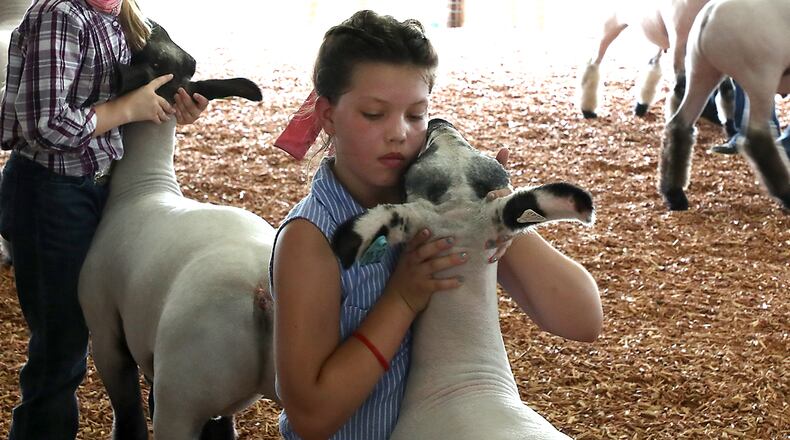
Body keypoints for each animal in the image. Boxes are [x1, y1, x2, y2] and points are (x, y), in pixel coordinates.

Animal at [77, 21, 277, 439]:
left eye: (153, 60)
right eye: (185, 61)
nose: (152, 23)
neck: (145, 186)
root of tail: (262, 294)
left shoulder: (105, 330)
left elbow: (129, 416)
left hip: (184, 391)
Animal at [579, 0, 733, 126]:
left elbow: (728, 90)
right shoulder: (680, 43)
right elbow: (680, 89)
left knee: (652, 65)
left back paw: (640, 107)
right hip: (611, 23)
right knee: (593, 61)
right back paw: (588, 111)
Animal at [658, 0, 790, 211]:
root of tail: (710, 15)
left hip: (700, 70)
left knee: (678, 124)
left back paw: (674, 195)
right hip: (760, 76)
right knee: (757, 138)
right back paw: (787, 195)